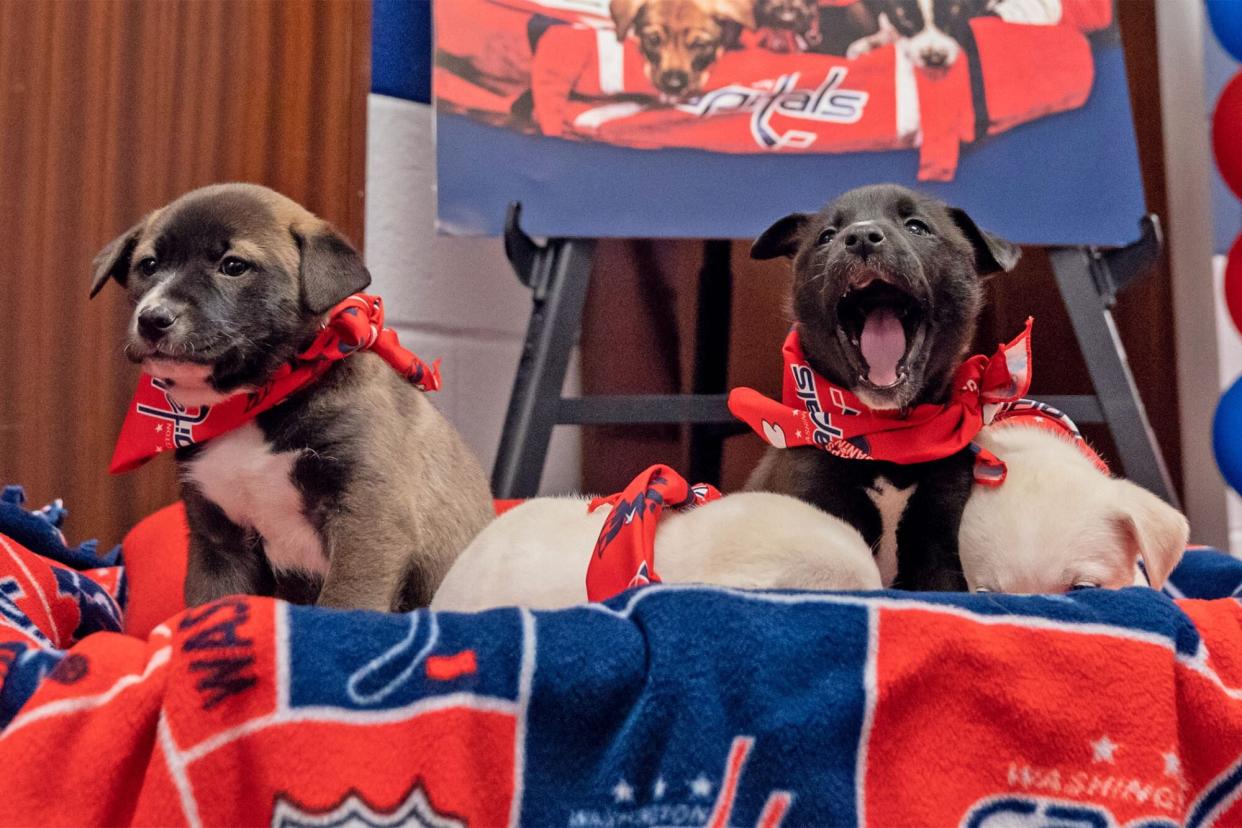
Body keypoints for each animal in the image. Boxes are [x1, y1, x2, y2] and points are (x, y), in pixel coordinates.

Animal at [90, 184, 494, 613]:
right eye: (148, 264)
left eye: (234, 266)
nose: (153, 319)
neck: (256, 402)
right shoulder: (218, 539)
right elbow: (209, 603)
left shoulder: (368, 517)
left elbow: (346, 601)